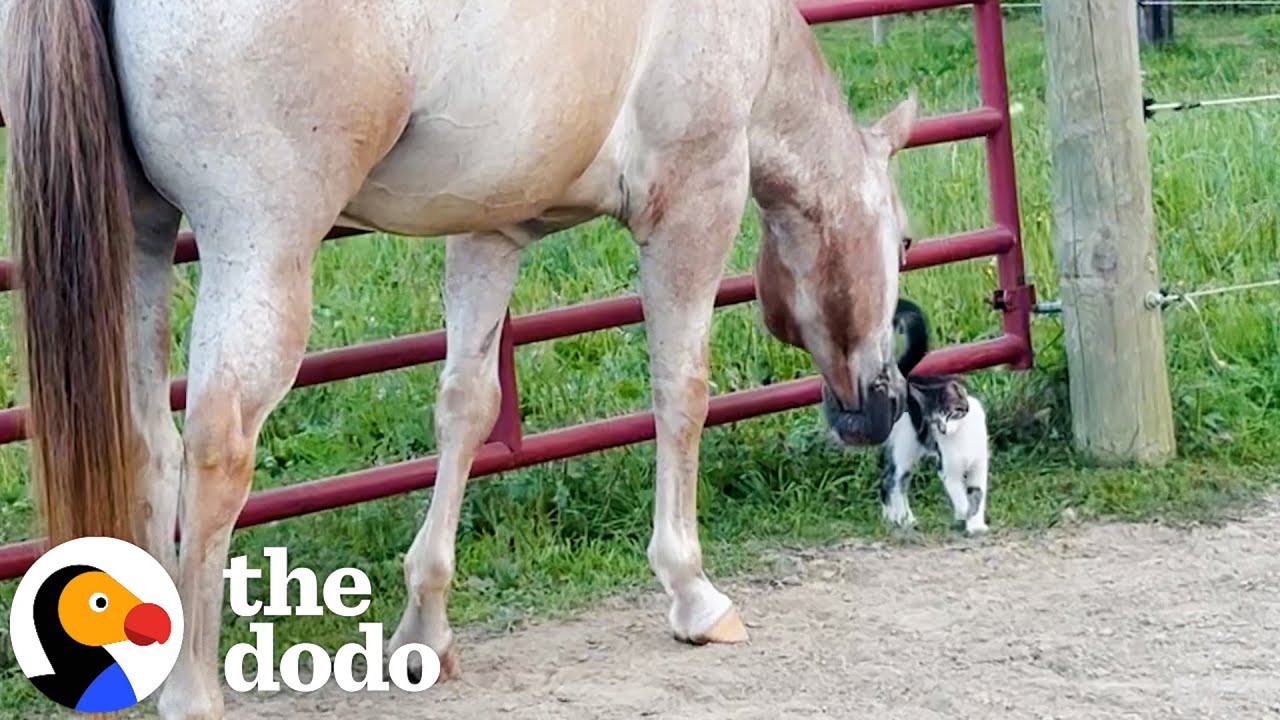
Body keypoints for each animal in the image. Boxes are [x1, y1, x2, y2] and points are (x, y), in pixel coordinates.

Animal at [2, 1, 921, 717]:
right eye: (905, 240)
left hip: (137, 238)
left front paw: (423, 629)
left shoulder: (494, 229)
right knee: (217, 449)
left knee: (148, 440)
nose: (878, 406)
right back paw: (191, 694)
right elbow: (680, 394)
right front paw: (692, 592)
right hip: (259, 245)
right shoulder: (695, 203)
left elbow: (466, 409)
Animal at [885, 297, 993, 532]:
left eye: (950, 414)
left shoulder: (979, 465)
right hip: (904, 445)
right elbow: (959, 495)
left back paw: (900, 519)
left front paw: (976, 525)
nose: (942, 429)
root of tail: (904, 380)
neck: (961, 438)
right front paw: (963, 514)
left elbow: (978, 494)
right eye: (933, 420)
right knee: (891, 481)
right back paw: (898, 520)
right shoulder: (947, 468)